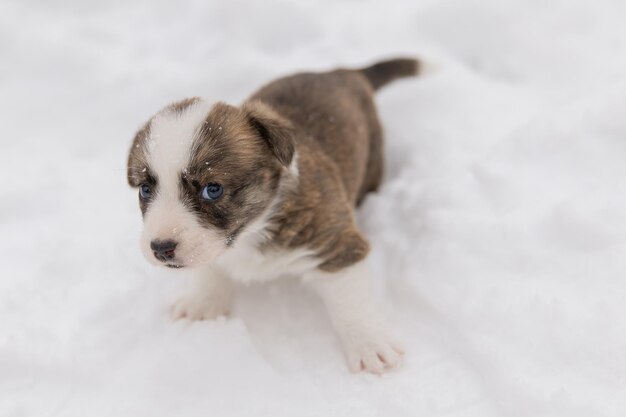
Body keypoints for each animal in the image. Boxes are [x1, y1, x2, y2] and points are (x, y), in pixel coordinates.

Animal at [126, 57, 420, 370]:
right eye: (145, 189)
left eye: (212, 189)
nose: (160, 248)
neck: (251, 230)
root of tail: (344, 72)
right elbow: (209, 270)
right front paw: (201, 304)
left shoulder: (335, 243)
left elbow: (352, 303)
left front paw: (370, 346)